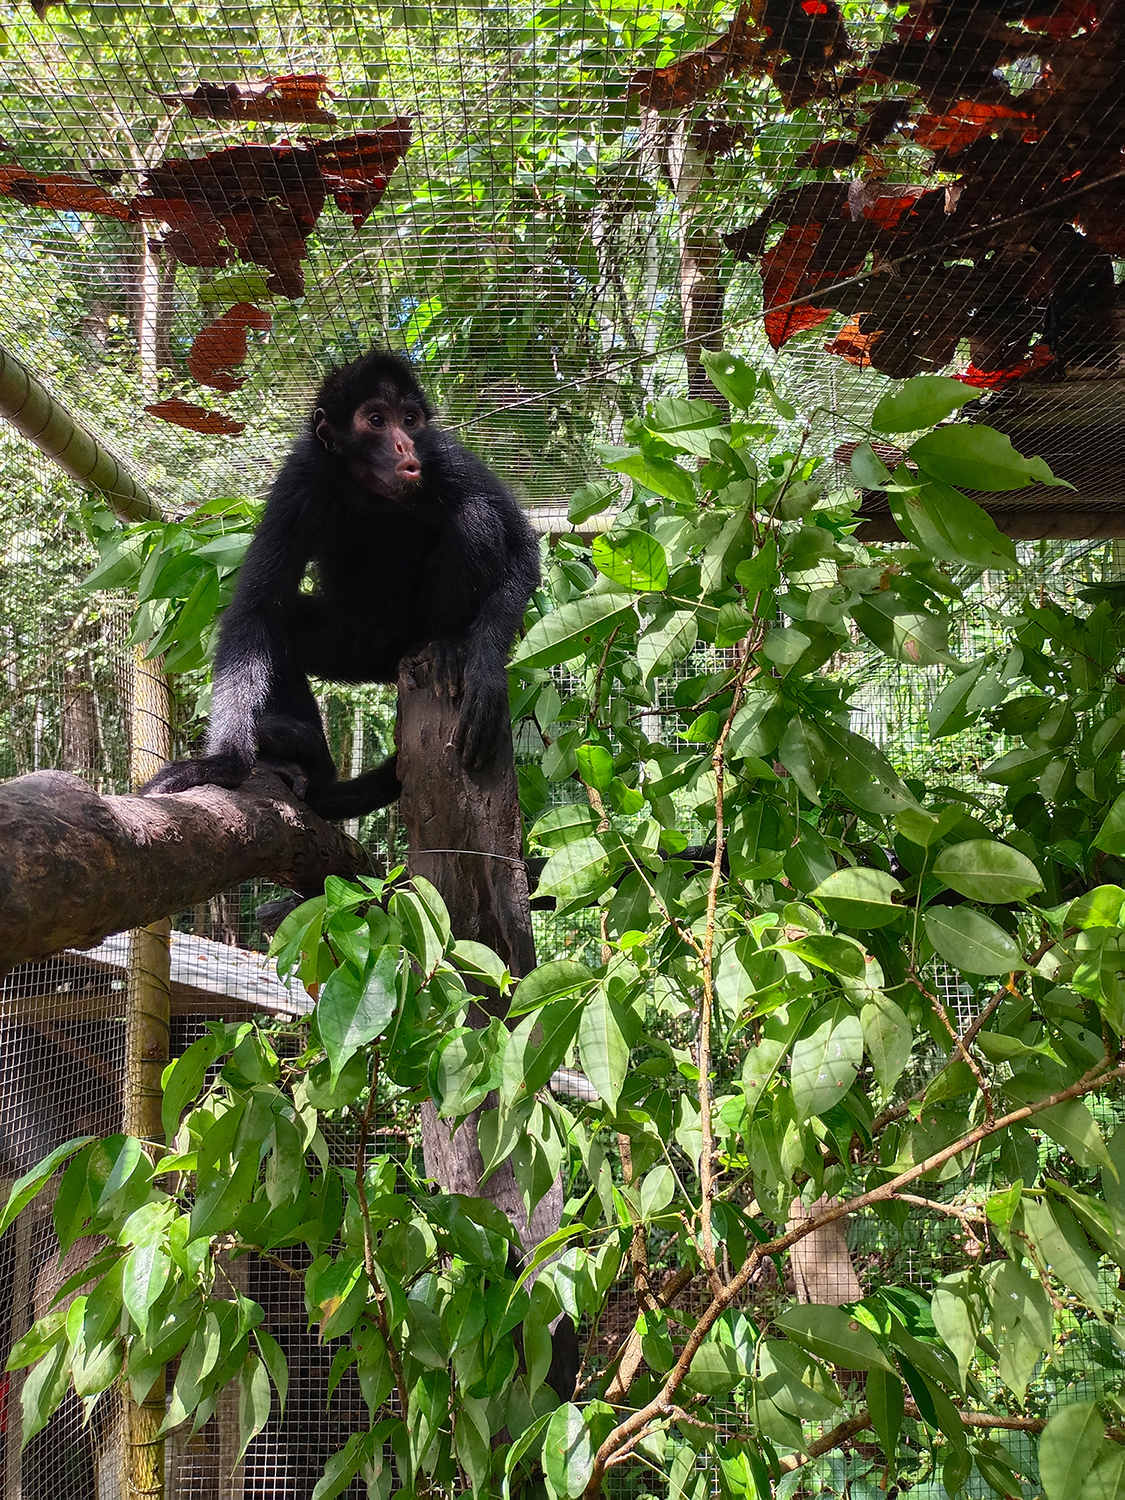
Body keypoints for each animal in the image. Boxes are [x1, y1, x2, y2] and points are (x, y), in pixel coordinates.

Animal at [143, 350, 540, 819]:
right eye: (376, 420)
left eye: (409, 420)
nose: (404, 445)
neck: (370, 492)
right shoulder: (300, 479)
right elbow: (256, 609)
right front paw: (224, 764)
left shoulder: (446, 458)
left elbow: (523, 550)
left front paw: (487, 674)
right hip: (350, 644)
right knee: (282, 629)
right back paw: (307, 764)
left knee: (476, 515)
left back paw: (447, 646)